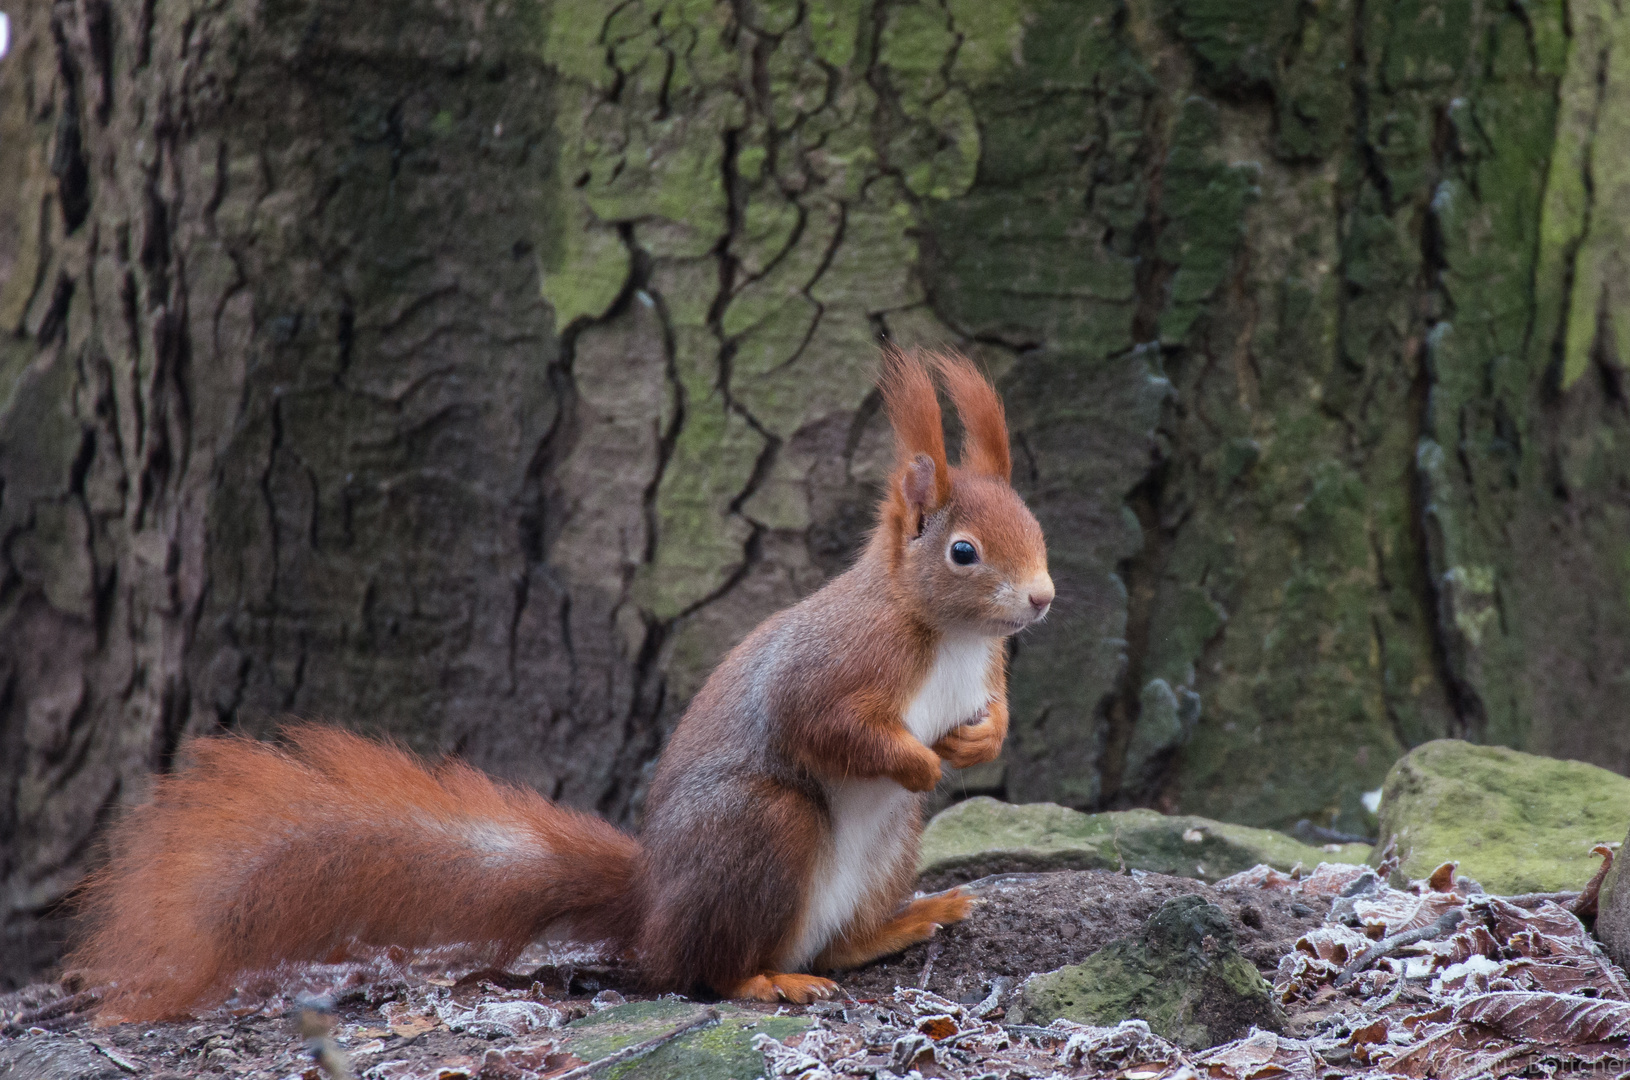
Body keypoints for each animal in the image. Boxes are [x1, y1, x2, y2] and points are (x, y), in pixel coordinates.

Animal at [70, 348, 1056, 1022]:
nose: (1043, 599)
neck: (949, 636)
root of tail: (652, 910)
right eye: (963, 552)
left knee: (840, 941)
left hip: (888, 843)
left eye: (1034, 526)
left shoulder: (983, 668)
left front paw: (980, 739)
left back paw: (903, 922)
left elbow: (994, 709)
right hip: (762, 829)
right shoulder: (840, 664)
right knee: (708, 970)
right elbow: (827, 726)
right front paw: (921, 759)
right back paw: (768, 976)